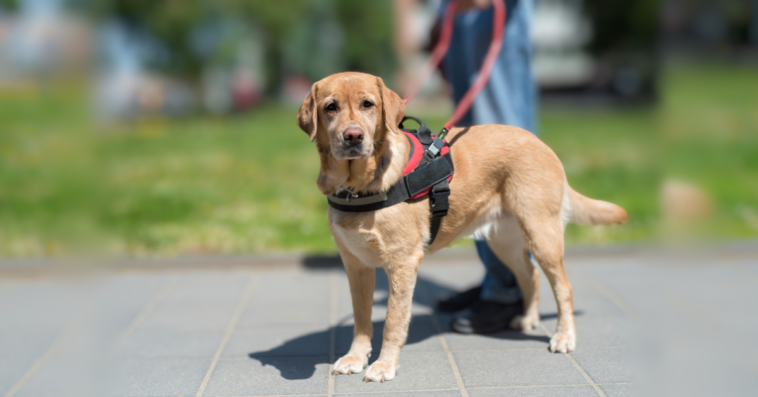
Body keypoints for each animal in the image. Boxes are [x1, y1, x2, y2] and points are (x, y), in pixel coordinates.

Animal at [296, 71, 628, 380]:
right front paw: (355, 357)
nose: (352, 136)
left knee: (563, 286)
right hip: (503, 241)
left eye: (368, 104)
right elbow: (361, 319)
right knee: (529, 274)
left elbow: (393, 321)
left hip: (541, 234)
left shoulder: (402, 263)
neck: (357, 187)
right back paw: (528, 319)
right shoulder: (356, 265)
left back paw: (564, 336)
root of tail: (539, 142)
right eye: (331, 107)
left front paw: (384, 365)